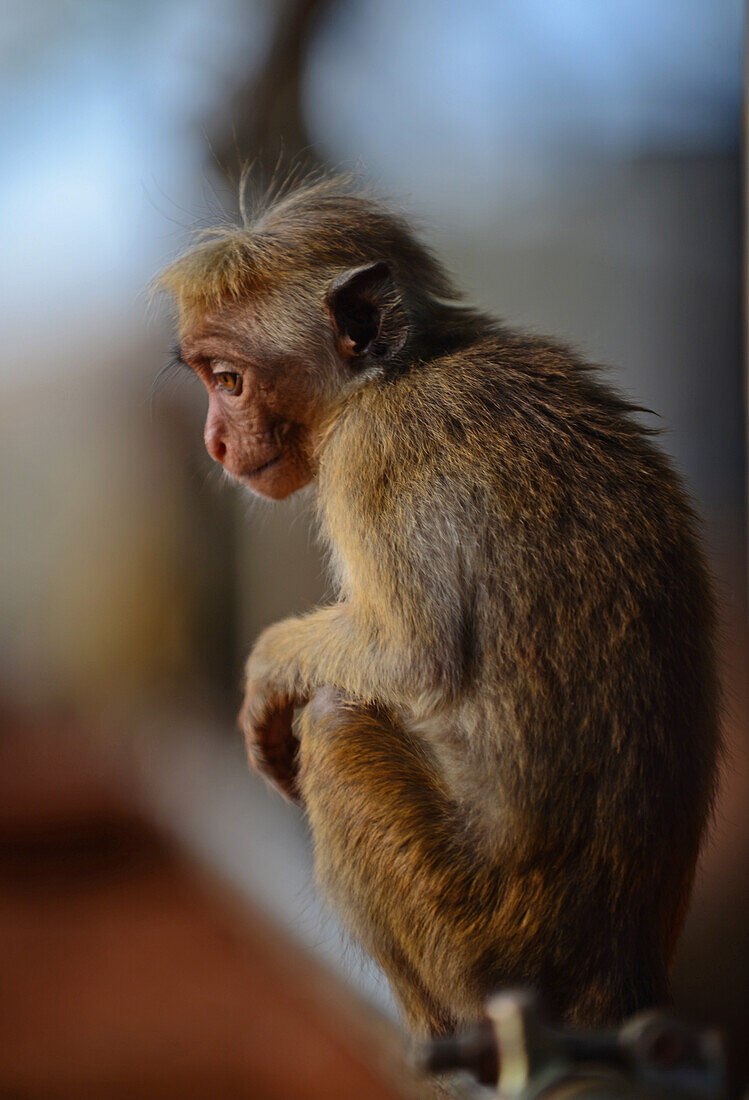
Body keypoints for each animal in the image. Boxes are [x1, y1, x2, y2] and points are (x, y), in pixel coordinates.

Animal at [156, 171, 717, 1038]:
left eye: (228, 381)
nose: (215, 441)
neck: (399, 373)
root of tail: (611, 975)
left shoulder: (369, 457)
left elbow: (412, 658)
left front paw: (267, 668)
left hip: (473, 937)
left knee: (337, 723)